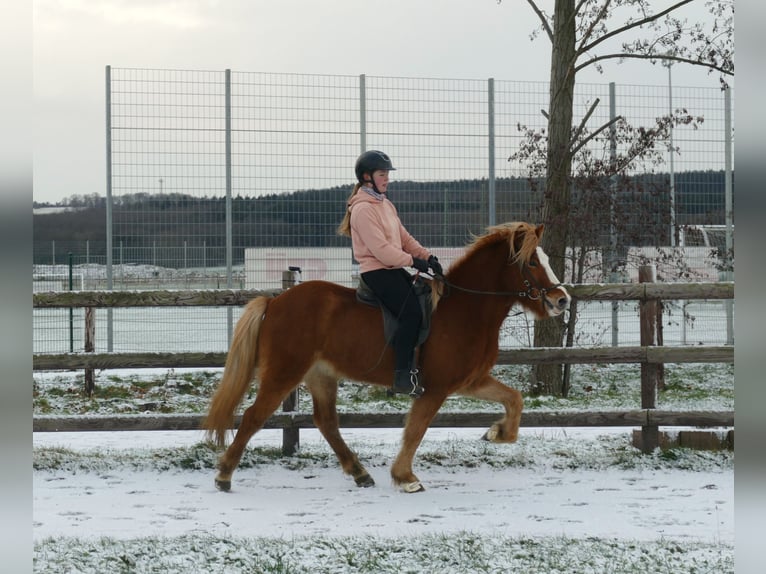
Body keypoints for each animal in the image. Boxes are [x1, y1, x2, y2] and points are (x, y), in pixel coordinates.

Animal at [203, 222, 571, 493]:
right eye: (533, 262)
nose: (562, 299)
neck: (465, 309)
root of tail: (275, 301)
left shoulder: (470, 381)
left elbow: (514, 399)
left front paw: (498, 433)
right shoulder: (436, 388)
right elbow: (416, 430)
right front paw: (405, 477)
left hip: (321, 375)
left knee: (326, 422)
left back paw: (359, 472)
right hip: (284, 372)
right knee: (253, 417)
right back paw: (224, 475)